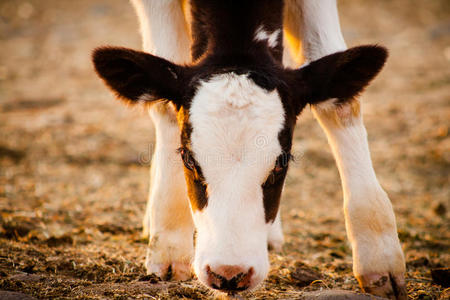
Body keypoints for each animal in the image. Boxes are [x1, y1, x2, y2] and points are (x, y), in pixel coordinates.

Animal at [90, 0, 404, 298]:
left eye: (281, 164)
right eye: (189, 160)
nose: (229, 274)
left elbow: (341, 104)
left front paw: (380, 258)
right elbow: (164, 106)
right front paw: (168, 244)